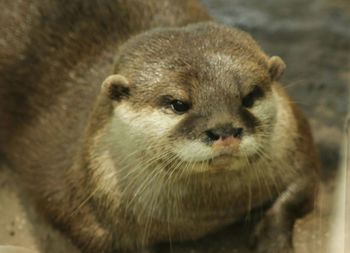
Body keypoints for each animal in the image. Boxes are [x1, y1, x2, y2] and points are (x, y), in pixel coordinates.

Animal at [0, 0, 318, 253]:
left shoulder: (297, 143)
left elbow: (296, 193)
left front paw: (273, 242)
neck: (206, 215)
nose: (224, 130)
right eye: (178, 104)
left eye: (249, 96)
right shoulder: (76, 207)